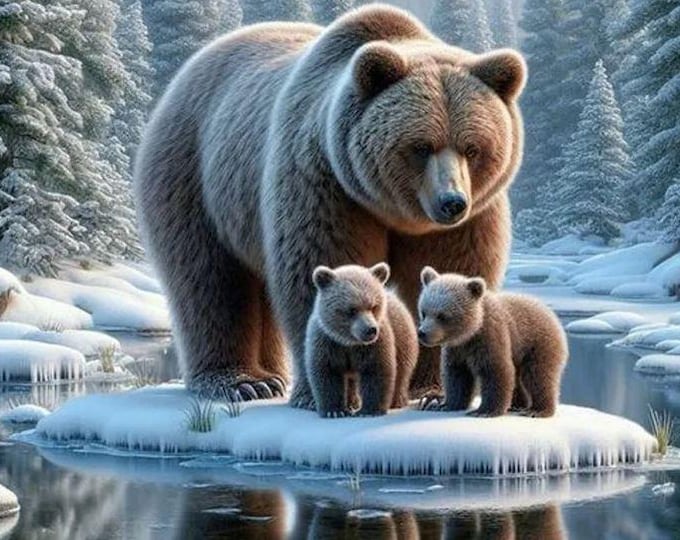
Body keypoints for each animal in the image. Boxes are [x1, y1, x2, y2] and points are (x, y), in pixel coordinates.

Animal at [305, 263, 418, 417]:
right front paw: (334, 410)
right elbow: (326, 374)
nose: (370, 329)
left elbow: (376, 371)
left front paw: (369, 410)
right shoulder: (327, 342)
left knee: (401, 371)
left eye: (374, 306)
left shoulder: (375, 345)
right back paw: (350, 403)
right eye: (352, 309)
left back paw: (396, 401)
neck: (349, 341)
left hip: (402, 338)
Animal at [417, 267, 567, 417]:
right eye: (424, 312)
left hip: (538, 344)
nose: (422, 333)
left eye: (442, 316)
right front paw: (445, 405)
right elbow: (457, 375)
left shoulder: (490, 337)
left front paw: (484, 411)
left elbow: (495, 370)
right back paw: (517, 405)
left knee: (537, 376)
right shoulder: (456, 349)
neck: (470, 332)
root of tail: (551, 314)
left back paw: (538, 410)